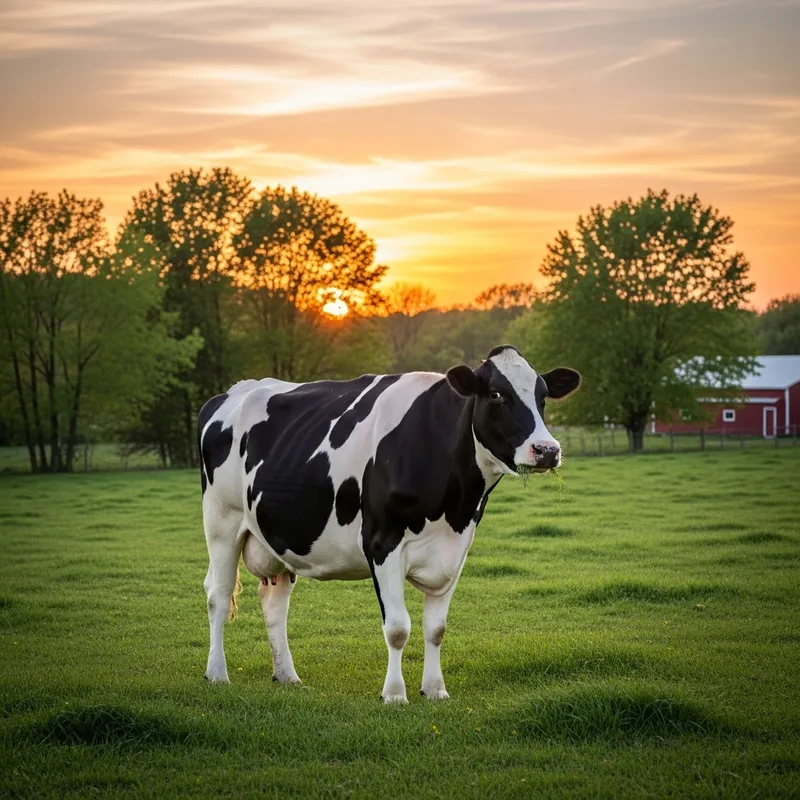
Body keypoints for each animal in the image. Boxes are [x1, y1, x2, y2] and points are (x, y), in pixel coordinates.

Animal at [198, 345, 580, 703]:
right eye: (496, 394)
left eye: (543, 396)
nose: (547, 450)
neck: (452, 506)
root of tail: (231, 392)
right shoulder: (382, 543)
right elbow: (397, 628)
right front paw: (394, 694)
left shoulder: (456, 550)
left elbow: (436, 628)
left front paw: (435, 689)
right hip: (221, 521)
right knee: (218, 595)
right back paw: (217, 673)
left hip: (278, 538)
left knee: (274, 602)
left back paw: (287, 675)